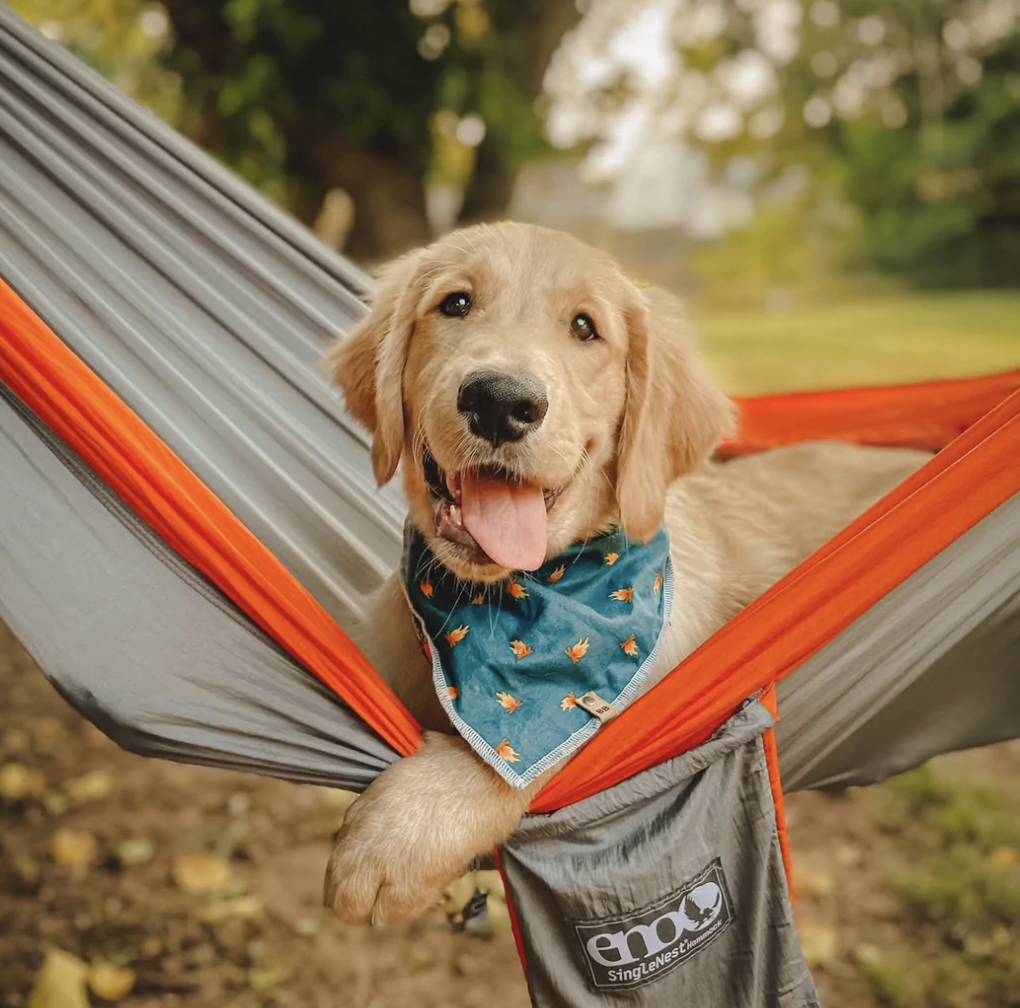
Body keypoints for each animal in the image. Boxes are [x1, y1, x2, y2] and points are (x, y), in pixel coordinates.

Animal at [322, 224, 930, 926]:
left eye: (585, 327)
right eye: (456, 304)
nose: (500, 402)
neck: (505, 603)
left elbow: (551, 749)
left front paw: (402, 833)